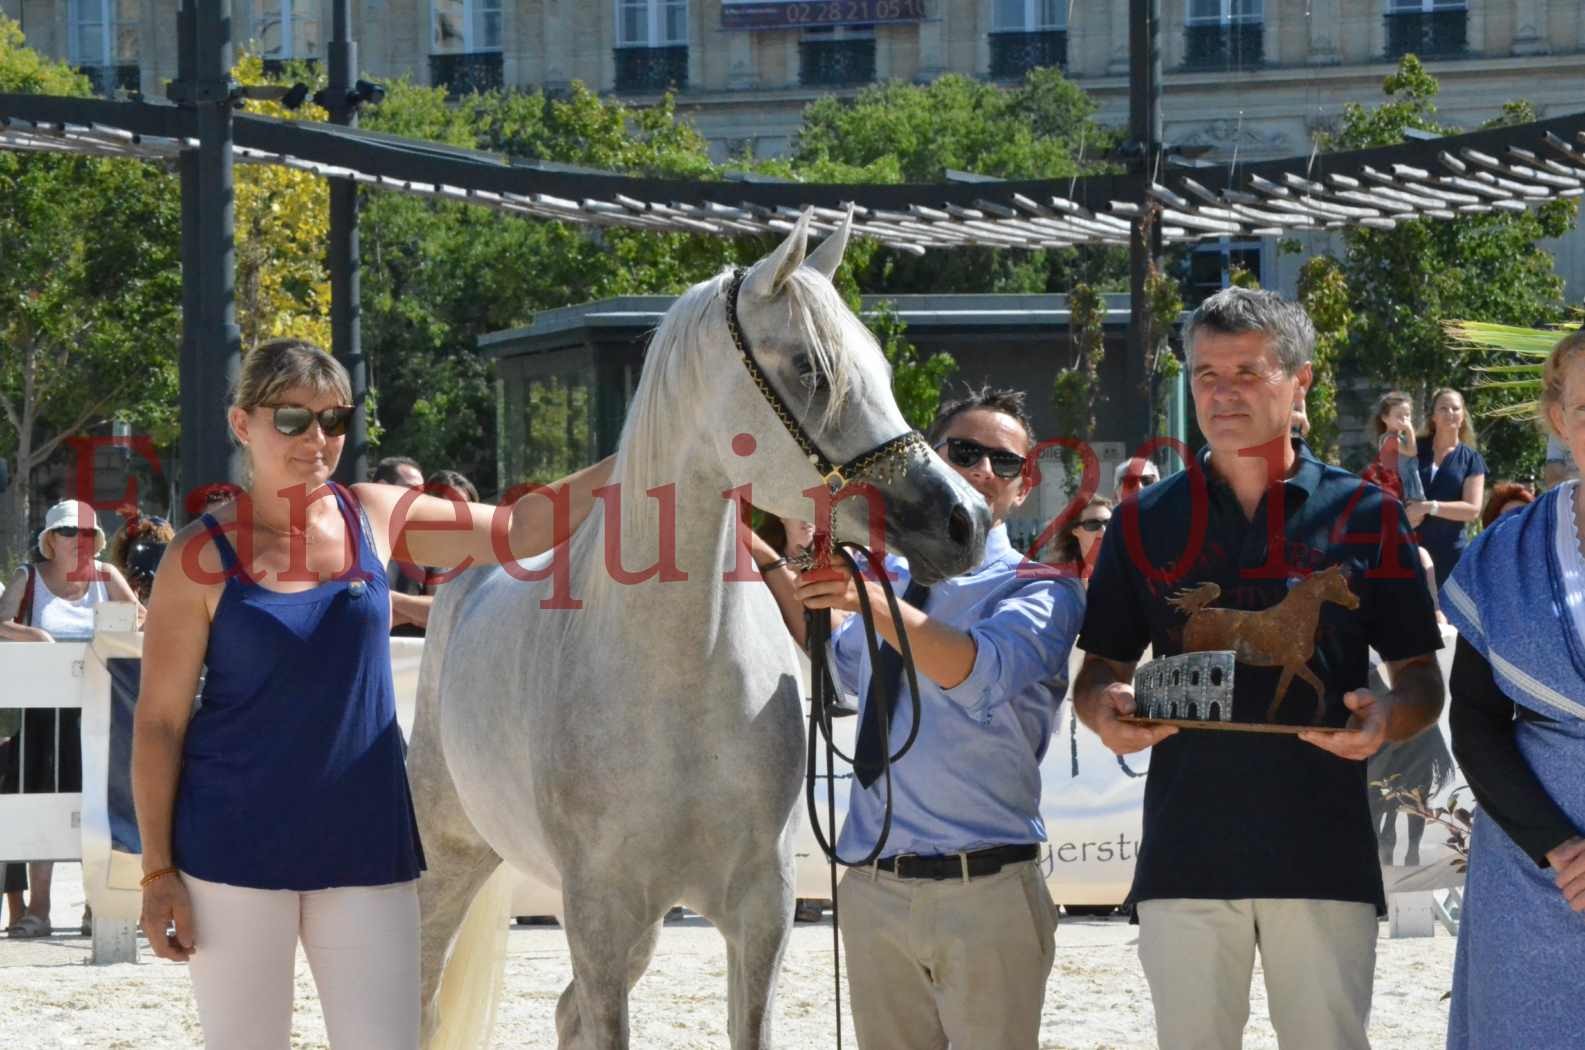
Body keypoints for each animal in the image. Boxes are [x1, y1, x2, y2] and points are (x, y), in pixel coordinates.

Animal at [412, 209, 989, 1046]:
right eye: (810, 369)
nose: (963, 520)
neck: (676, 678)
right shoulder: (599, 914)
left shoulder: (760, 911)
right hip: (448, 860)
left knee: (563, 1011)